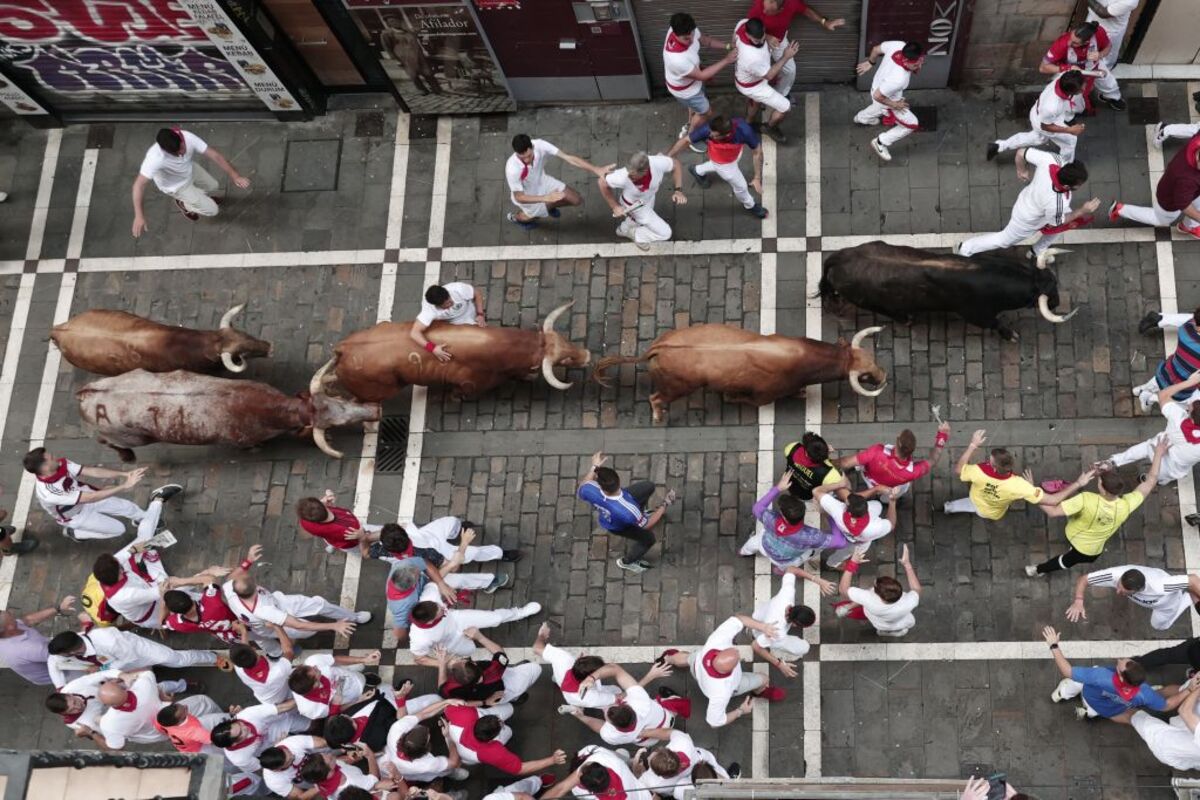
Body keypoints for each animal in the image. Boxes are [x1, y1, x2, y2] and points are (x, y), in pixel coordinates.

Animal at [77, 369, 376, 462]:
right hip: (129, 437)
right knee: (109, 443)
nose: (376, 409)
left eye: (338, 398)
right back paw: (125, 456)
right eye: (335, 424)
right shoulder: (242, 439)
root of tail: (86, 392)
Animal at [309, 304, 590, 410]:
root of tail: (343, 348)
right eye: (564, 360)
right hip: (379, 391)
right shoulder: (470, 384)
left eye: (566, 340)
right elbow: (461, 393)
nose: (586, 355)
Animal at [592, 323, 888, 424]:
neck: (801, 358)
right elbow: (742, 398)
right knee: (655, 398)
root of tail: (657, 347)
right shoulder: (763, 396)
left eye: (873, 358)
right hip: (680, 387)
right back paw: (658, 416)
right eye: (864, 377)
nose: (883, 376)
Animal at [816, 244, 1080, 345]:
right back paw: (907, 319)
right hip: (871, 302)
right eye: (1047, 294)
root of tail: (838, 258)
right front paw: (1011, 335)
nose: (1057, 302)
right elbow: (996, 323)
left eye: (1054, 281)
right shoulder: (978, 316)